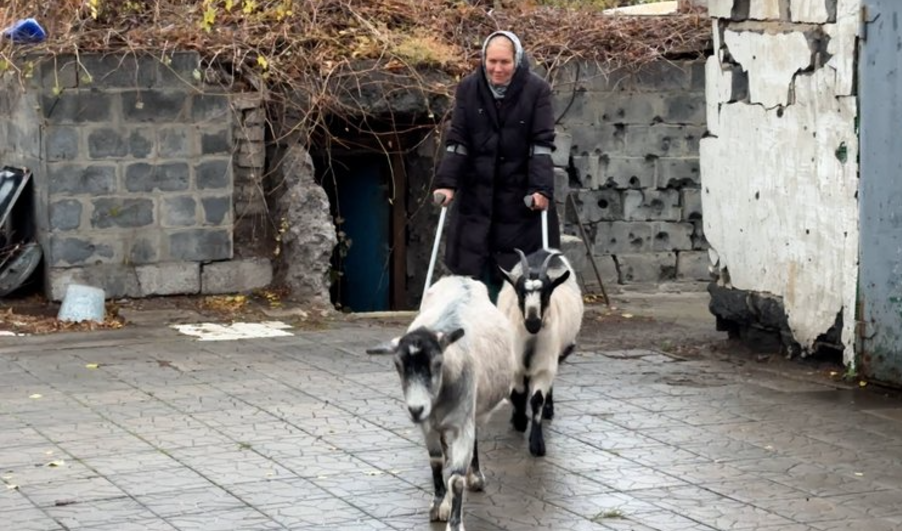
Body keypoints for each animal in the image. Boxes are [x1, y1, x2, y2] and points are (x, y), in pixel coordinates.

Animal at [368, 276, 516, 531]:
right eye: (398, 365)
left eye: (437, 363)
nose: (416, 409)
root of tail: (461, 278)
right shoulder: (427, 426)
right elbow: (436, 463)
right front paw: (438, 506)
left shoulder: (463, 423)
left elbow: (456, 479)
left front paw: (455, 523)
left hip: (475, 411)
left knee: (473, 440)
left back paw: (475, 477)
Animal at [494, 249, 588, 458]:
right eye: (520, 294)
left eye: (546, 294)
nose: (533, 322)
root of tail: (545, 251)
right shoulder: (516, 366)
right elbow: (518, 394)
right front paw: (519, 421)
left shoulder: (545, 365)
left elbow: (536, 399)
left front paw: (537, 445)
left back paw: (548, 409)